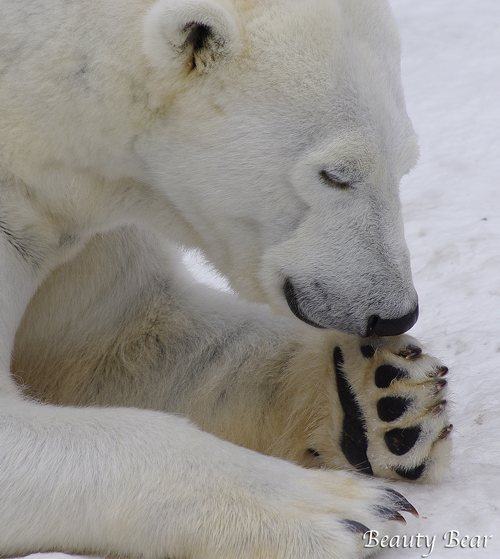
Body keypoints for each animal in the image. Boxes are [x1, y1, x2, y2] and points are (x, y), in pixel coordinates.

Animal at [0, 0, 452, 556]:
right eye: (337, 174)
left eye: (406, 163)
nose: (395, 314)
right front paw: (345, 510)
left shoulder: (82, 229)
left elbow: (125, 339)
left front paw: (387, 395)